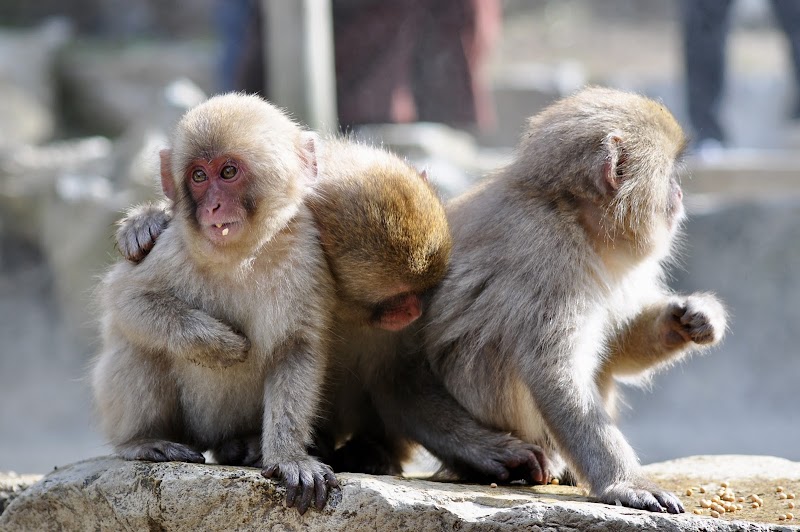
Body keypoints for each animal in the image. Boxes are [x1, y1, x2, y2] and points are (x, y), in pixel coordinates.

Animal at [92, 93, 338, 515]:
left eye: (227, 172)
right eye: (198, 177)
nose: (212, 208)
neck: (240, 257)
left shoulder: (306, 256)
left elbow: (296, 348)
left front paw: (289, 457)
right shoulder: (172, 247)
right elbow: (126, 299)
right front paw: (219, 345)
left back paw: (246, 446)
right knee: (137, 344)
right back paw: (141, 441)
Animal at [115, 134, 549, 486]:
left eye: (424, 292)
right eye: (393, 301)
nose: (411, 313)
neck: (342, 307)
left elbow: (399, 381)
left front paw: (491, 449)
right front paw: (146, 222)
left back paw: (369, 451)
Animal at [421, 86, 727, 513]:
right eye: (669, 175)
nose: (679, 193)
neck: (574, 218)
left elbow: (615, 348)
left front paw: (692, 316)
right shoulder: (550, 259)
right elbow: (555, 372)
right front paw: (626, 483)